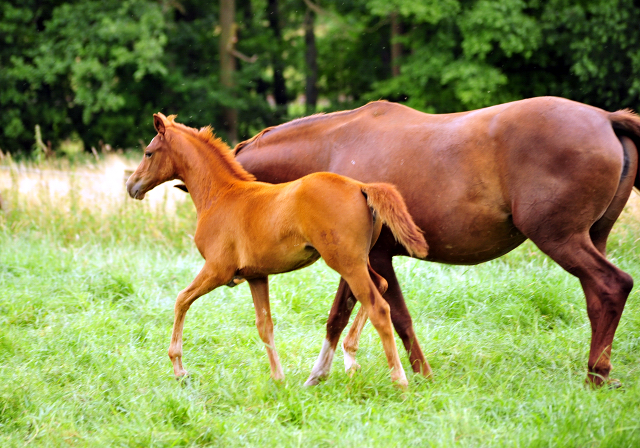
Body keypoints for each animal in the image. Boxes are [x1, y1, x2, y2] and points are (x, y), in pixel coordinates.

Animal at [125, 114, 428, 386]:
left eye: (149, 152)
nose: (131, 186)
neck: (220, 196)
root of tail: (361, 186)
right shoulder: (256, 276)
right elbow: (265, 325)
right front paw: (278, 379)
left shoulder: (217, 269)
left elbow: (181, 300)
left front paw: (179, 368)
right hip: (359, 260)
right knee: (382, 285)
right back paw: (350, 359)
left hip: (347, 263)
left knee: (379, 307)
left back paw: (398, 380)